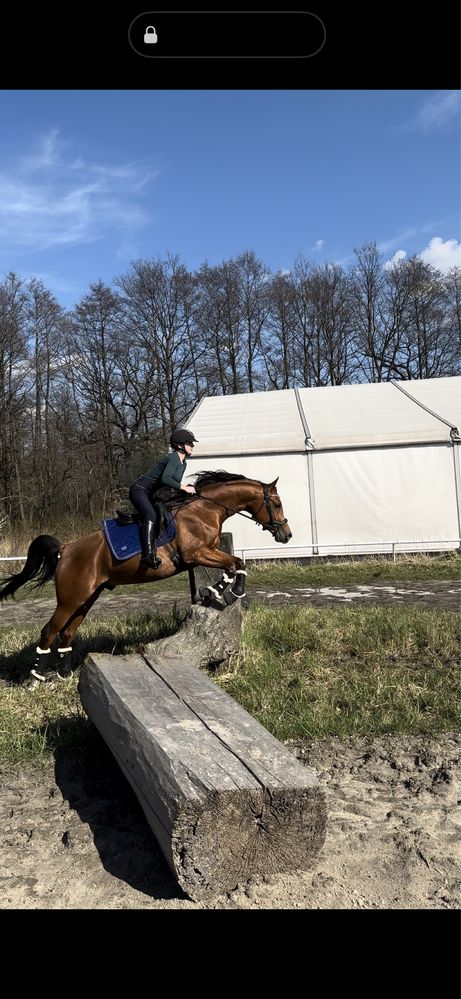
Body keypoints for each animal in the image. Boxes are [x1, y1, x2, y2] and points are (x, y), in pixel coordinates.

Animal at [0, 472, 292, 684]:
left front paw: (214, 591)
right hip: (70, 600)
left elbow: (233, 565)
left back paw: (64, 674)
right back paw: (35, 678)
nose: (286, 535)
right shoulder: (196, 553)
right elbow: (235, 564)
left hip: (86, 598)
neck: (206, 510)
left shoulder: (206, 553)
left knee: (68, 633)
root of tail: (65, 549)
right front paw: (230, 591)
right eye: (277, 503)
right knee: (49, 631)